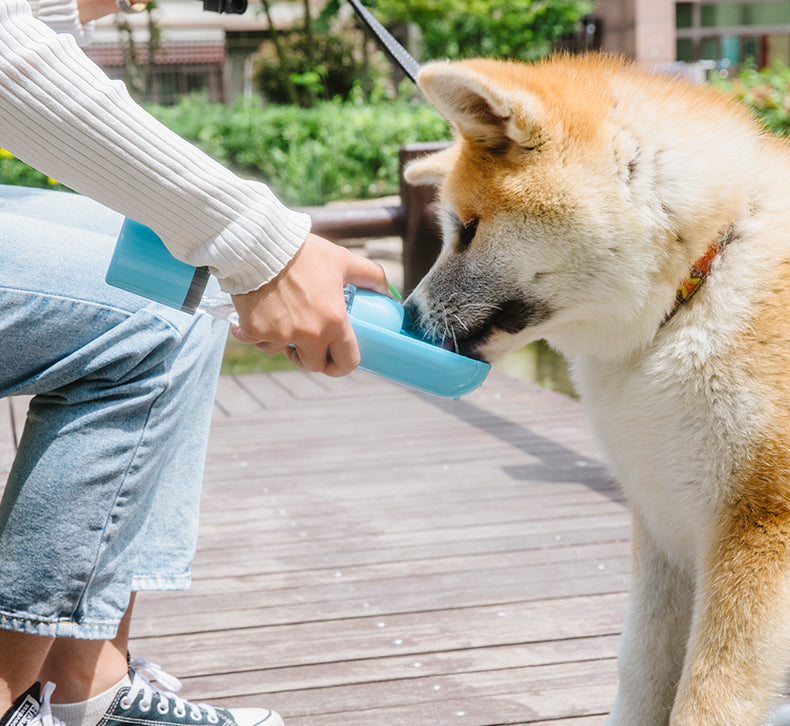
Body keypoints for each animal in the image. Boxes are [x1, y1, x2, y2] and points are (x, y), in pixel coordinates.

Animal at [406, 55, 790, 726]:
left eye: (469, 230)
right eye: (451, 231)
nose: (406, 313)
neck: (698, 281)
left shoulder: (757, 529)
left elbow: (708, 699)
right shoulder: (664, 525)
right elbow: (640, 670)